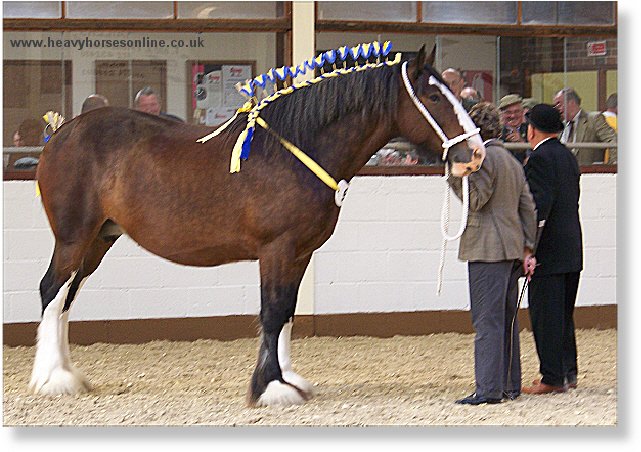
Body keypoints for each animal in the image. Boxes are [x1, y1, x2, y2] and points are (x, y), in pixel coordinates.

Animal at [28, 45, 480, 406]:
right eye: (432, 95)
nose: (474, 153)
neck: (296, 151)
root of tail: (61, 132)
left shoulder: (300, 253)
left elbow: (287, 312)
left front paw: (288, 379)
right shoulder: (276, 248)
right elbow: (272, 310)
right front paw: (271, 388)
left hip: (99, 239)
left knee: (66, 297)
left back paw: (68, 375)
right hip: (73, 237)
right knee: (51, 290)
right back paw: (51, 379)